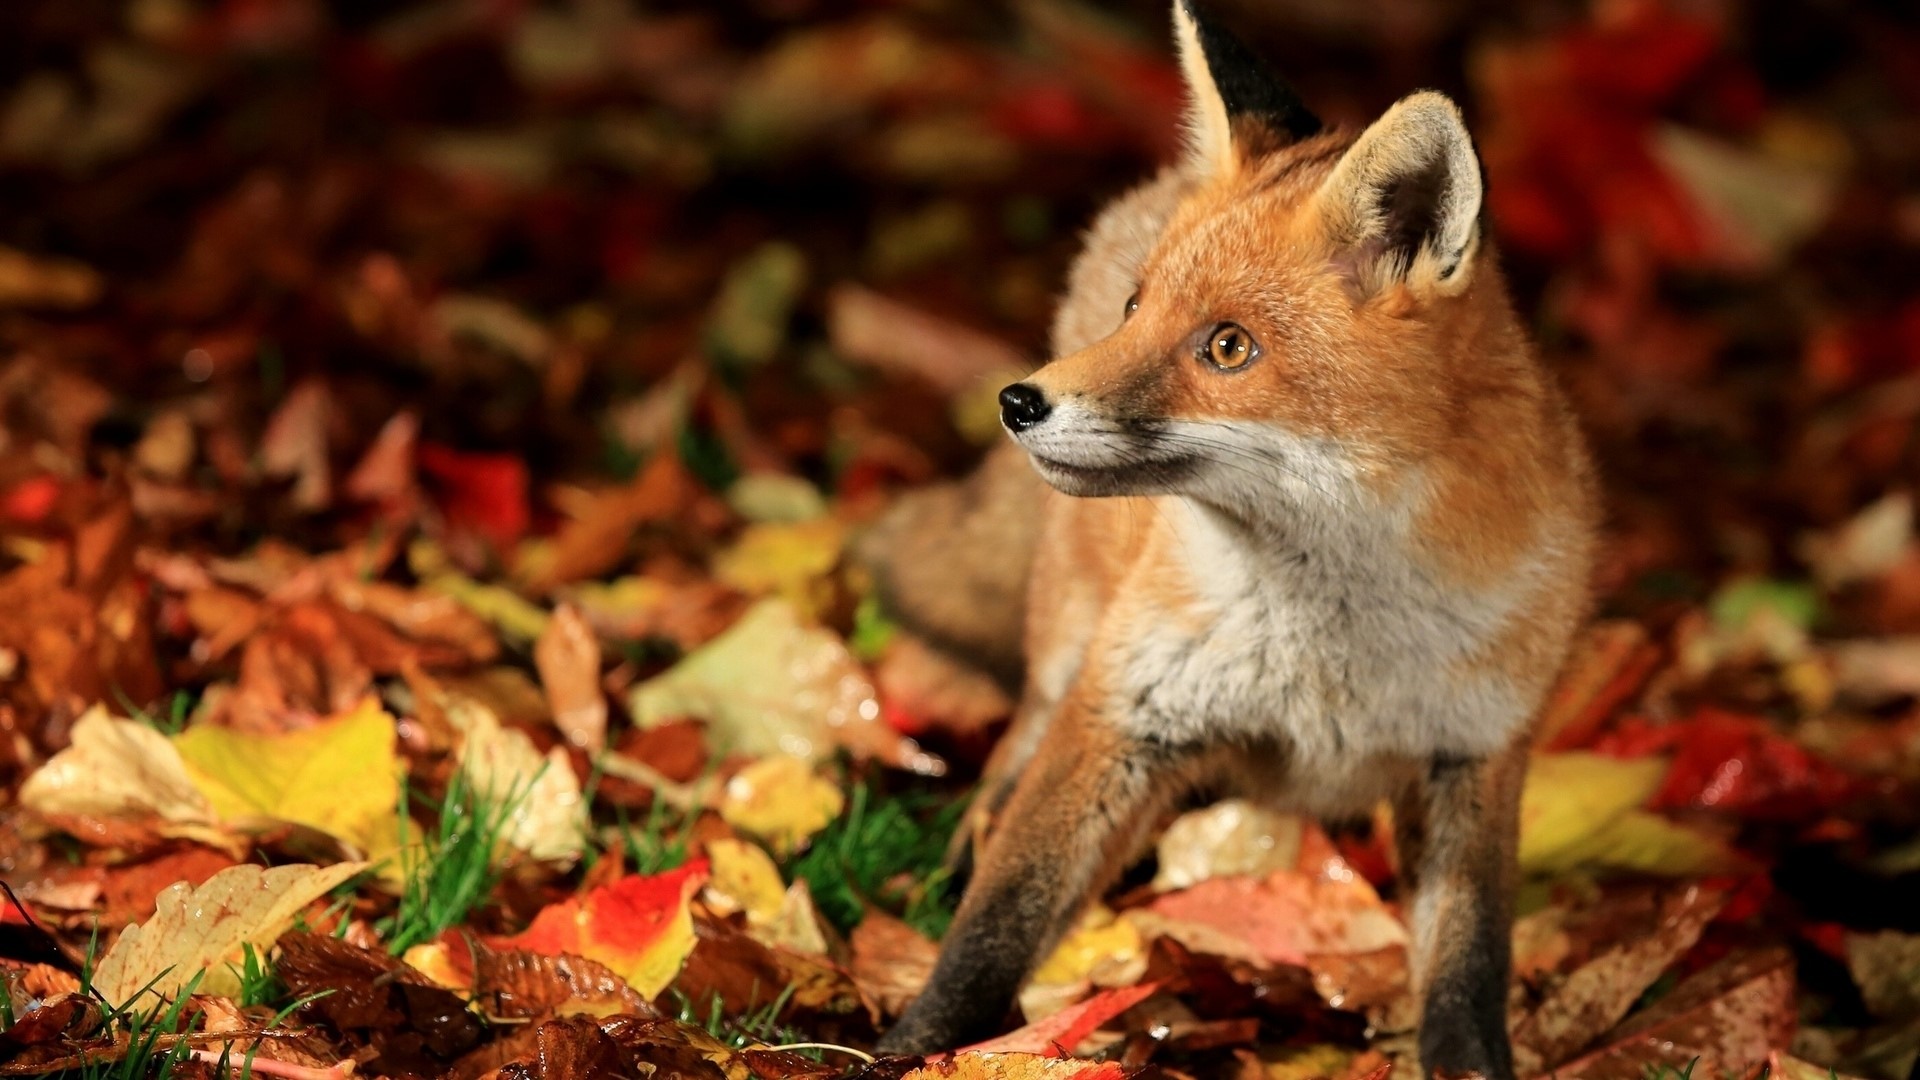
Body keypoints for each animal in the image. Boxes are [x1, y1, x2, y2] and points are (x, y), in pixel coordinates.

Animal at [860, 2, 1599, 1078]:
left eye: (1227, 347)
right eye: (1138, 309)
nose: (1019, 402)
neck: (1330, 650)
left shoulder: (1475, 758)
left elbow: (1467, 977)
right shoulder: (1121, 712)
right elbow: (998, 923)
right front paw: (914, 1048)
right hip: (1071, 641)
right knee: (1010, 758)